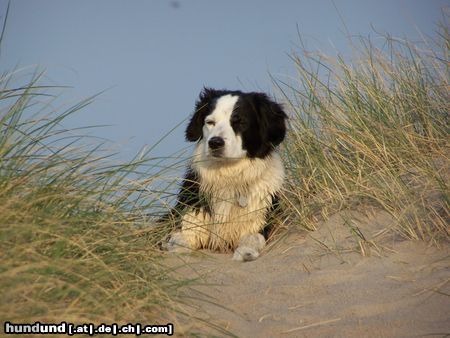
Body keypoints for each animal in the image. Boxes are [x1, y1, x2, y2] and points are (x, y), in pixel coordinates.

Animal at [165, 88, 288, 262]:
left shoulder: (259, 217)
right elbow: (181, 238)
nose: (215, 143)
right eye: (210, 122)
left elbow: (253, 237)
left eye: (240, 122)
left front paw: (245, 252)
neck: (228, 175)